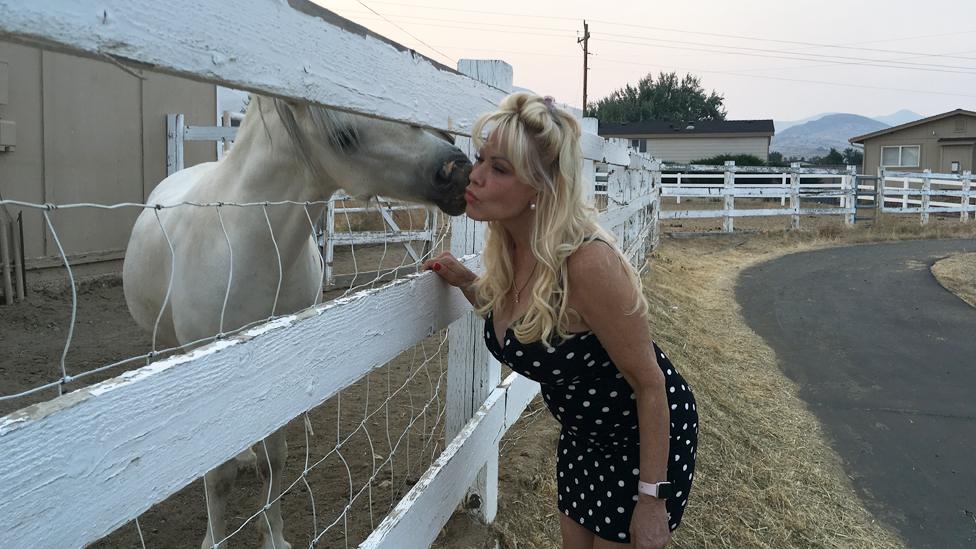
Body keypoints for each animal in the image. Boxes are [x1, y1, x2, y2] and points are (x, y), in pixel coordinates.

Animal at [123, 95, 472, 548]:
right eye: (344, 136)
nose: (458, 170)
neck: (244, 250)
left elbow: (274, 461)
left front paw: (274, 535)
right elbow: (219, 478)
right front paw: (215, 539)